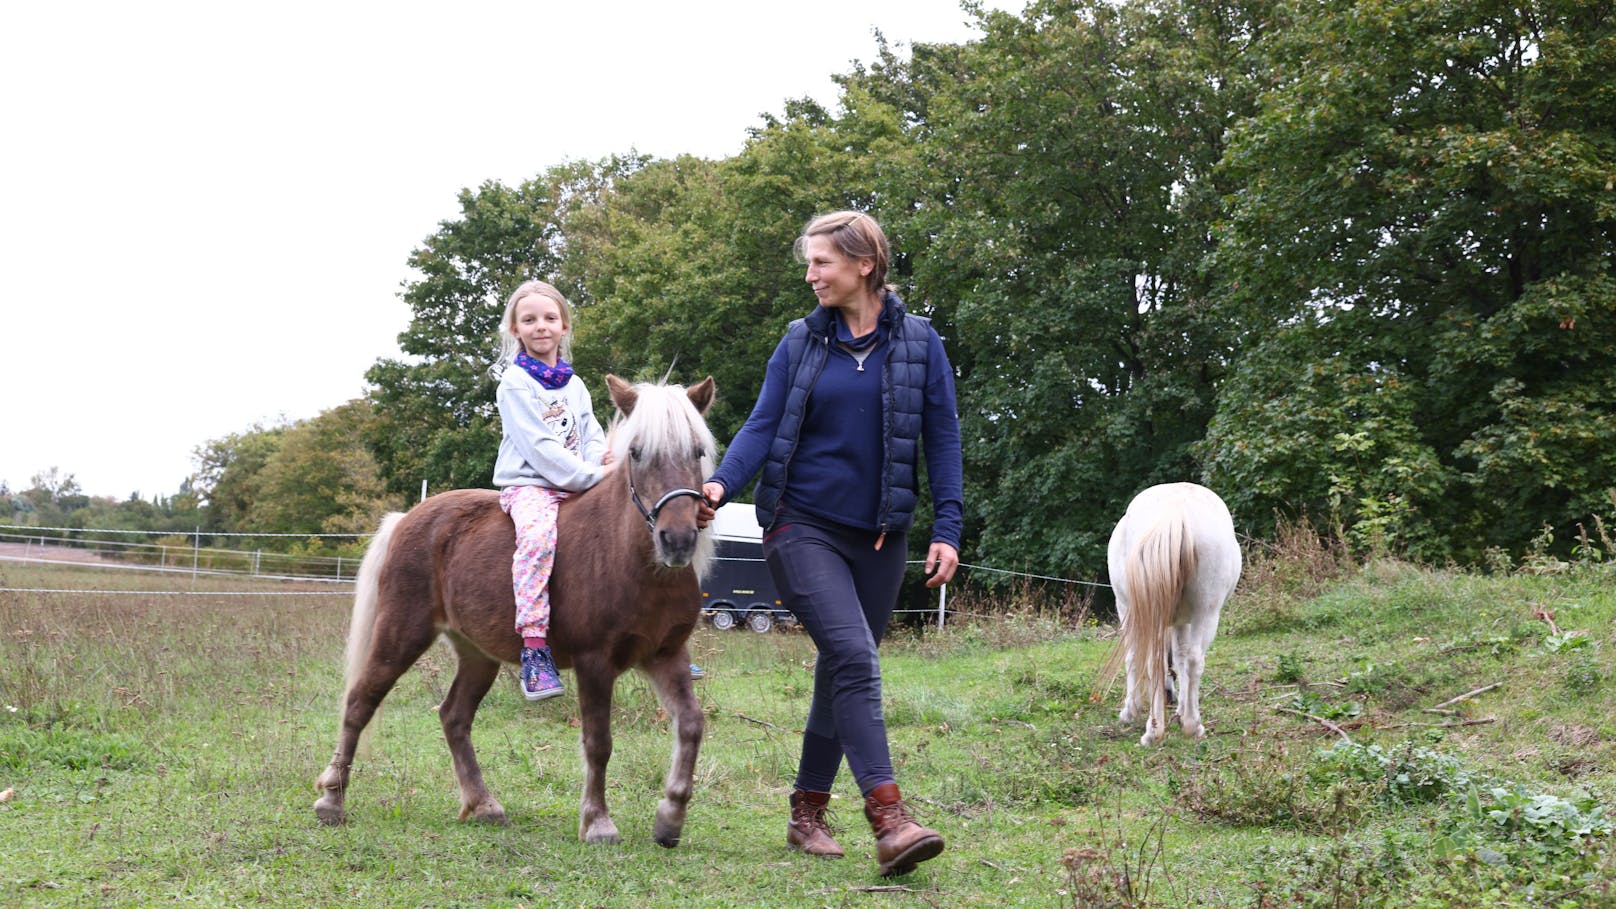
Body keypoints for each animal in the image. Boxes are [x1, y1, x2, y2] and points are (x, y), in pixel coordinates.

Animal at [313, 373, 714, 841]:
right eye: (636, 452)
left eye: (698, 451)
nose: (678, 540)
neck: (633, 561)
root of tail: (407, 518)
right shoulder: (595, 662)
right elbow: (599, 742)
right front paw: (598, 822)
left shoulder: (666, 655)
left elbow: (691, 724)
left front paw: (670, 817)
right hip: (401, 633)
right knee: (361, 701)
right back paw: (332, 800)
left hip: (477, 655)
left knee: (453, 716)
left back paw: (483, 804)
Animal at [1098, 481, 1234, 744]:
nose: (1170, 697)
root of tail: (1175, 513)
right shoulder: (1180, 621)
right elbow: (1180, 660)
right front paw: (1181, 711)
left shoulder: (1133, 612)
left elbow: (1141, 658)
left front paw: (1131, 710)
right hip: (1207, 612)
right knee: (1194, 660)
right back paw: (1192, 725)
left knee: (1155, 662)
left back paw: (1154, 730)